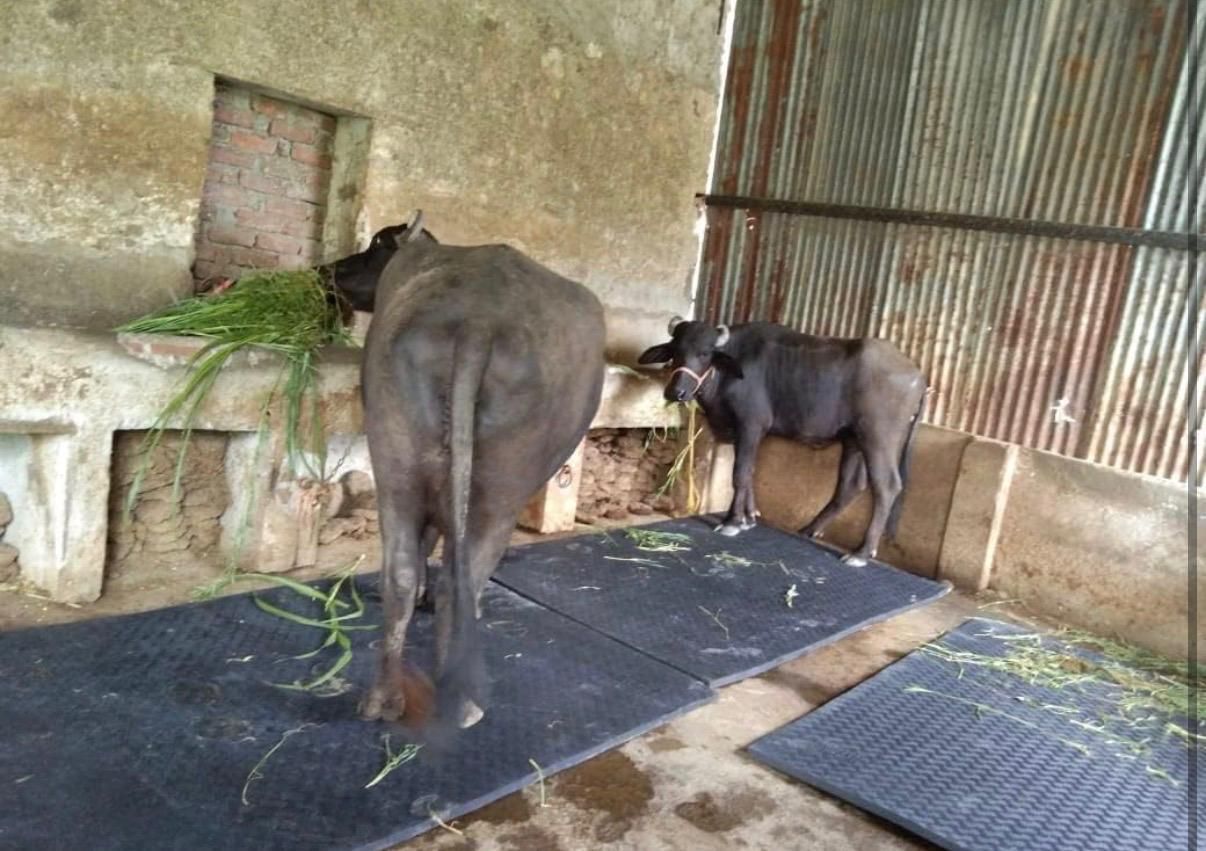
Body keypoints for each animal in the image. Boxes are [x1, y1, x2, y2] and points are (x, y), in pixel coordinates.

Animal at [320, 211, 606, 731]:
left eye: (373, 246)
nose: (329, 271)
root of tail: (480, 318)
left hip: (395, 460)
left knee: (400, 569)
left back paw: (383, 699)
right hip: (499, 491)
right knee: (463, 577)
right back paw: (462, 700)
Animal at [638, 318, 925, 567]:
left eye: (705, 353)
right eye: (675, 350)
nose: (676, 392)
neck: (727, 374)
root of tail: (918, 377)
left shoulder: (751, 425)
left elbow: (740, 473)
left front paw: (733, 521)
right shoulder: (747, 433)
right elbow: (750, 473)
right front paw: (749, 517)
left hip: (878, 437)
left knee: (886, 486)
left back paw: (861, 552)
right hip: (853, 440)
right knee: (851, 485)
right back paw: (808, 529)